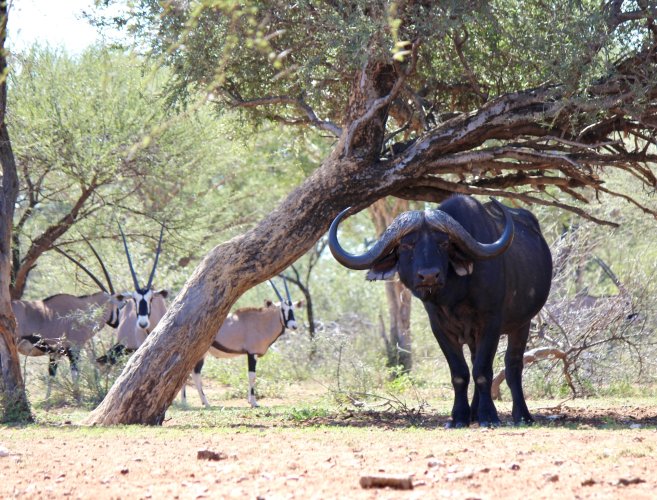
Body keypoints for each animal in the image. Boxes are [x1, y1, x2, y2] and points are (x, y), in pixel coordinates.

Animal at [328, 195, 548, 426]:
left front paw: (489, 416)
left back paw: (521, 415)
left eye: (443, 243)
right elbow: (460, 373)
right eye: (406, 244)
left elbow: (482, 371)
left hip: (522, 324)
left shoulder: (491, 324)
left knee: (513, 365)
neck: (456, 296)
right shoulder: (440, 328)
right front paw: (459, 417)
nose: (429, 276)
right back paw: (474, 413)